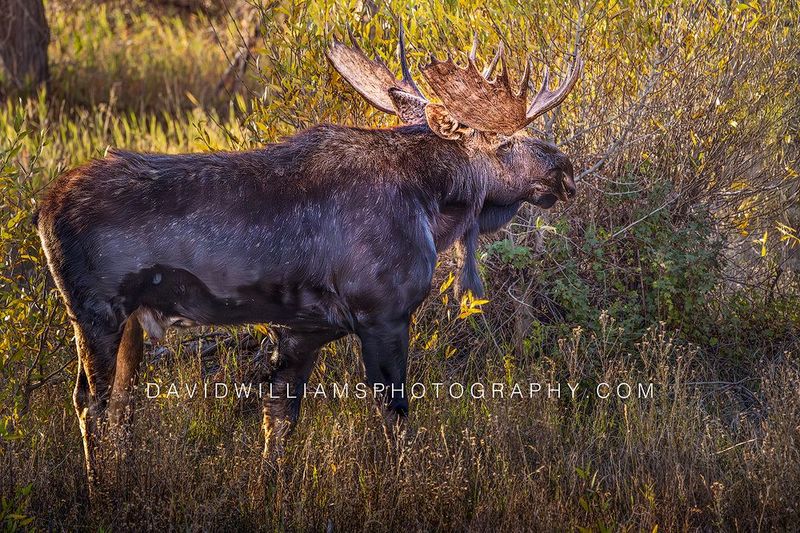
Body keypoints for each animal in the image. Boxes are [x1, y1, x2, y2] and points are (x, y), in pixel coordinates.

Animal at [35, 25, 581, 493]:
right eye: (504, 140)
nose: (565, 170)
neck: (431, 203)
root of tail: (43, 207)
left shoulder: (304, 328)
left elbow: (279, 420)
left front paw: (270, 488)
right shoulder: (382, 314)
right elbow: (394, 415)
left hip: (130, 321)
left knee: (122, 402)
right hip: (95, 311)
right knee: (89, 401)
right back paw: (98, 489)